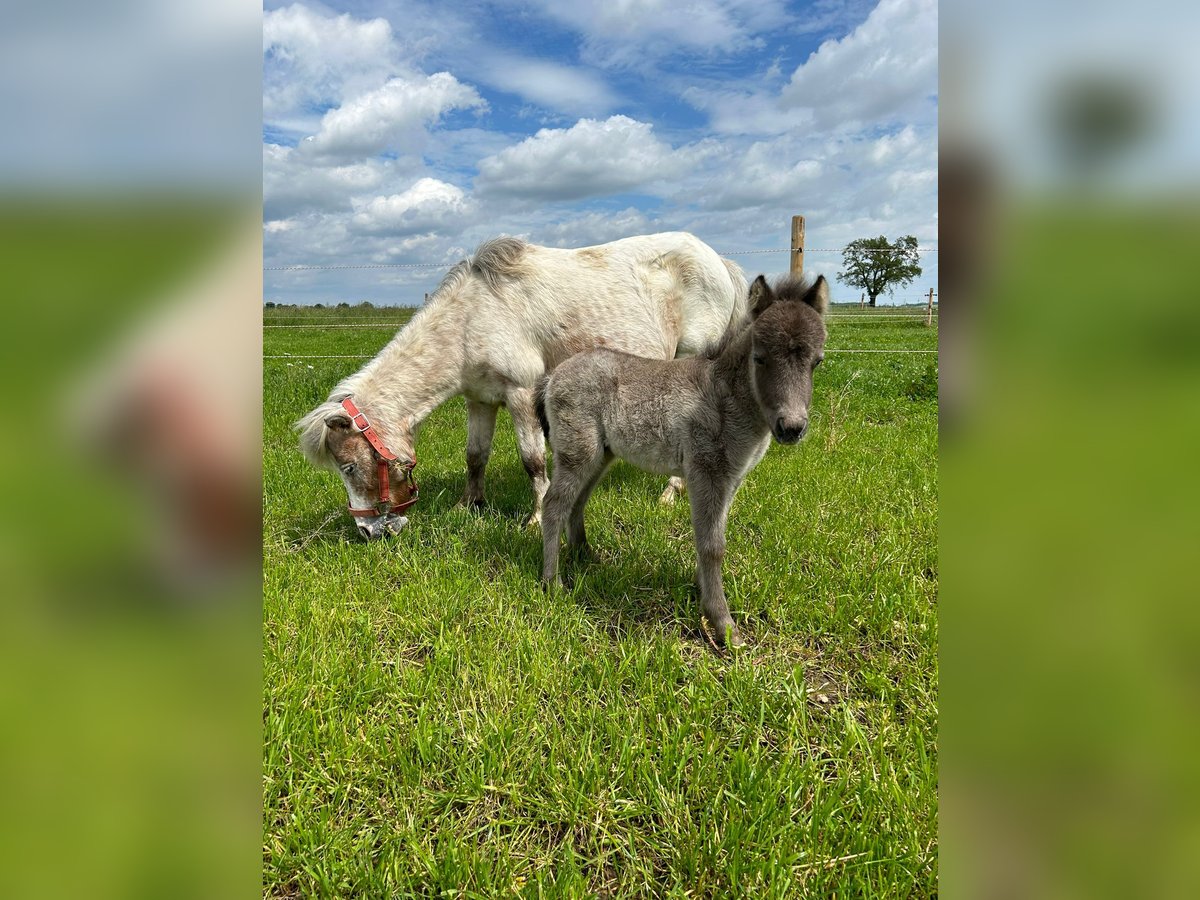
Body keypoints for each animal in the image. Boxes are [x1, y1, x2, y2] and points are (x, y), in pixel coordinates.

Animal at [296, 236, 744, 540]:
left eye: (348, 467)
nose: (370, 532)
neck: (472, 317)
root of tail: (718, 260)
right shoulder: (479, 400)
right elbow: (475, 456)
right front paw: (468, 505)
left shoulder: (522, 393)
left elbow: (533, 460)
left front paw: (536, 518)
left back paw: (672, 493)